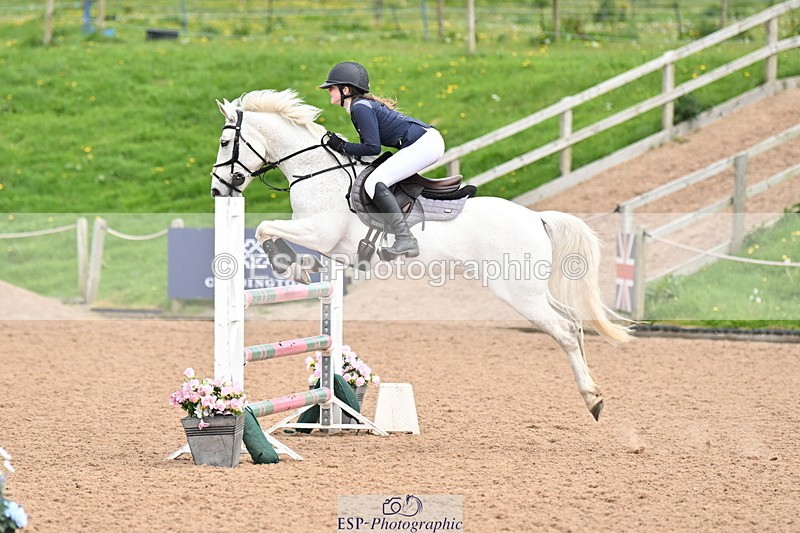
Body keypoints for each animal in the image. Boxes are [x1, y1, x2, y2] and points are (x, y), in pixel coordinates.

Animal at [209, 88, 631, 421]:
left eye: (226, 143)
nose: (217, 189)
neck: (317, 171)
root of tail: (537, 217)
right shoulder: (330, 247)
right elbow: (284, 241)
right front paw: (297, 266)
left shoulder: (319, 231)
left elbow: (265, 229)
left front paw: (288, 265)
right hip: (532, 290)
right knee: (574, 322)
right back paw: (594, 395)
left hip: (518, 292)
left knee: (564, 331)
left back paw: (592, 400)